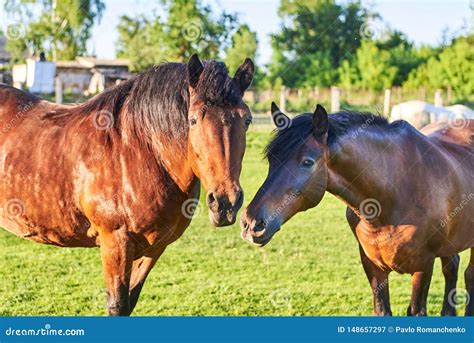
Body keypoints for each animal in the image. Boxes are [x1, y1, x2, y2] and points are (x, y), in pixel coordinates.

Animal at [0, 54, 256, 318]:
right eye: (193, 119)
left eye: (247, 119)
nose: (225, 203)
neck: (139, 149)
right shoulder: (116, 242)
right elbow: (117, 304)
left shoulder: (154, 247)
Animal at [243, 103, 472, 318]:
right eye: (271, 159)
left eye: (307, 162)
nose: (251, 223)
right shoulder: (372, 266)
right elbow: (382, 310)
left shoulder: (423, 266)